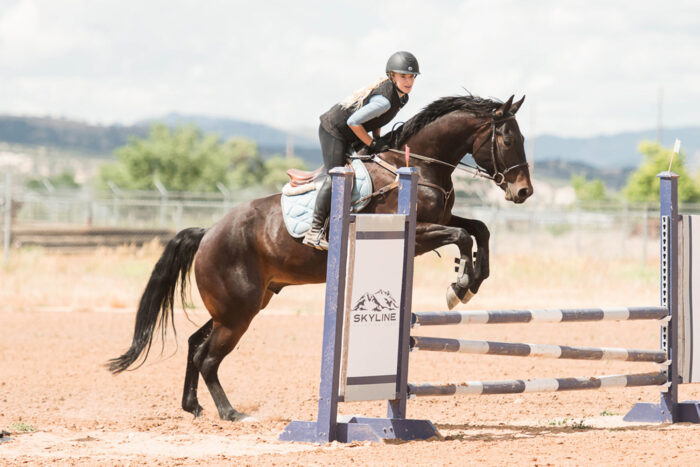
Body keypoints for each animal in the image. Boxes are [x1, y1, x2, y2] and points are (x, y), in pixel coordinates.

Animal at [108, 93, 533, 421]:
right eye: (507, 139)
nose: (523, 191)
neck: (417, 165)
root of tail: (208, 232)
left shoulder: (440, 221)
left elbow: (479, 229)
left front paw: (471, 281)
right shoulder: (417, 235)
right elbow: (463, 235)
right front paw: (459, 285)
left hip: (241, 305)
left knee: (196, 345)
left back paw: (192, 406)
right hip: (237, 311)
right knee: (208, 358)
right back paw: (230, 413)